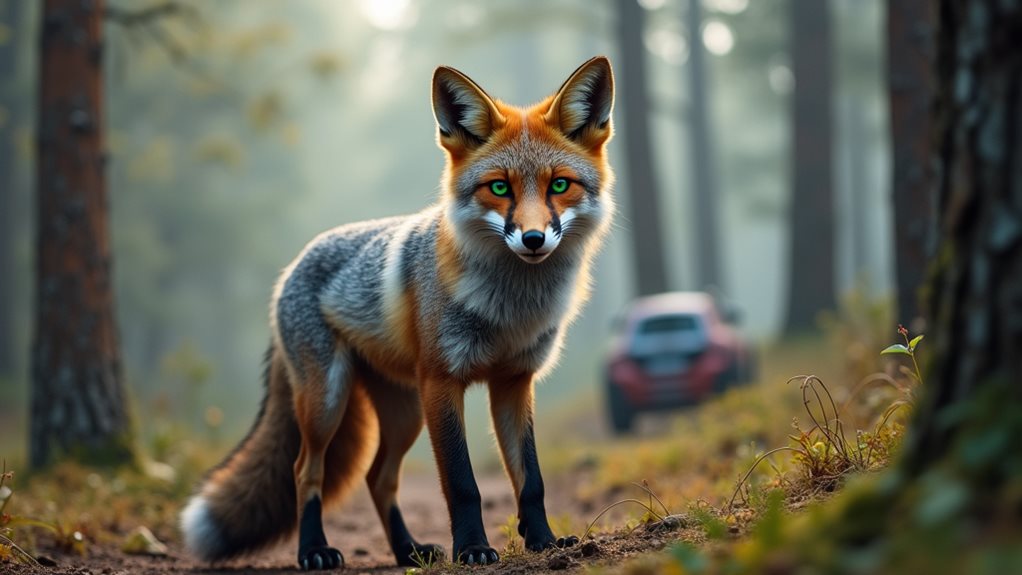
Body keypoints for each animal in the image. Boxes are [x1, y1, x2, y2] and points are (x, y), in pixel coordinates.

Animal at [180, 56, 615, 570]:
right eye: (499, 188)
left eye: (560, 185)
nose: (532, 239)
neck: (510, 309)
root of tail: (291, 268)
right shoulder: (442, 382)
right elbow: (463, 485)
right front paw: (472, 548)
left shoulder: (513, 382)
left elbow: (530, 480)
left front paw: (543, 540)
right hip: (329, 402)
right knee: (305, 471)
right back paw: (314, 550)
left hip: (404, 412)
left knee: (378, 477)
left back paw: (407, 549)